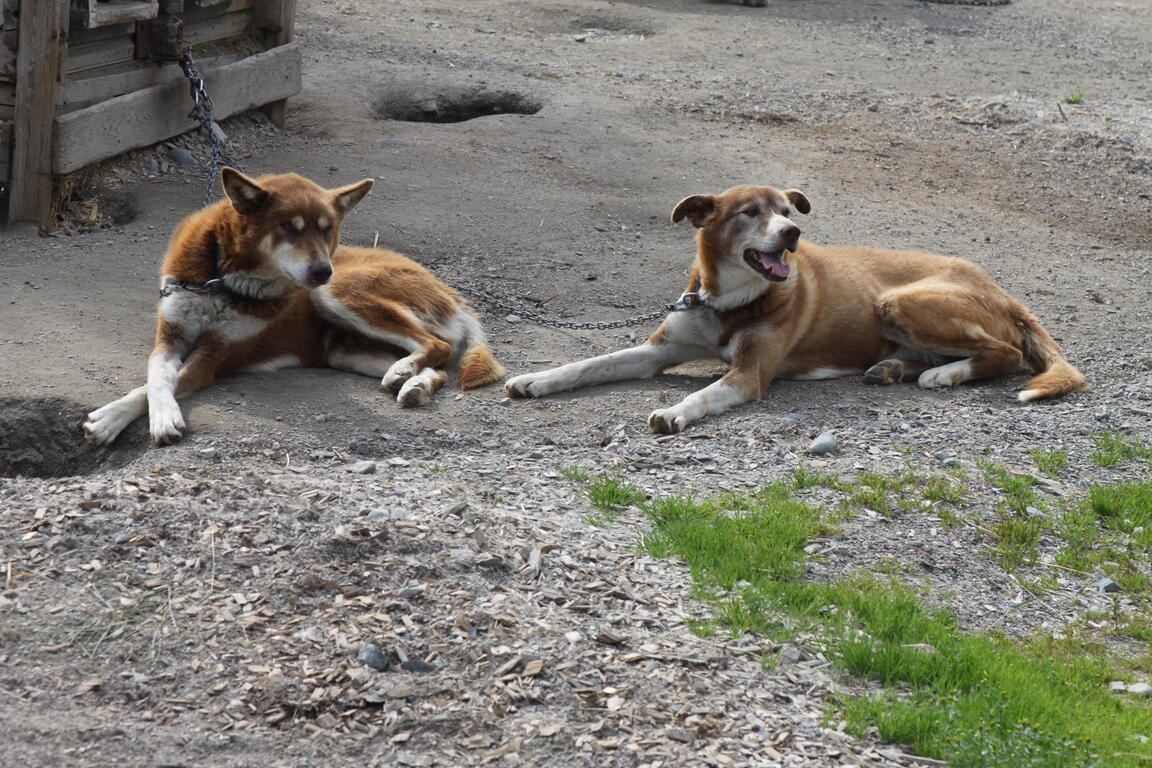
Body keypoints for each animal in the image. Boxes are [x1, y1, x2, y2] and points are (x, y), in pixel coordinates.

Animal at [83, 168, 506, 444]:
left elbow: (159, 384)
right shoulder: (170, 337)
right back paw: (413, 383)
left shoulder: (217, 355)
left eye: (327, 229)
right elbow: (157, 378)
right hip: (345, 350)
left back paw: (408, 372)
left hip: (335, 296)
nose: (322, 270)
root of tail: (453, 294)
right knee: (439, 367)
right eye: (288, 227)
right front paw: (138, 414)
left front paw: (116, 420)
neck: (225, 280)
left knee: (438, 346)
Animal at [509, 181, 1082, 432]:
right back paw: (893, 368)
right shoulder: (658, 350)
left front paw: (674, 411)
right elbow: (590, 363)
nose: (792, 233)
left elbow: (705, 393)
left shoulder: (750, 374)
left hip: (896, 301)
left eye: (787, 210)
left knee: (1007, 353)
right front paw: (536, 380)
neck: (728, 300)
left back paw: (944, 375)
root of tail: (1001, 289)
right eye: (750, 212)